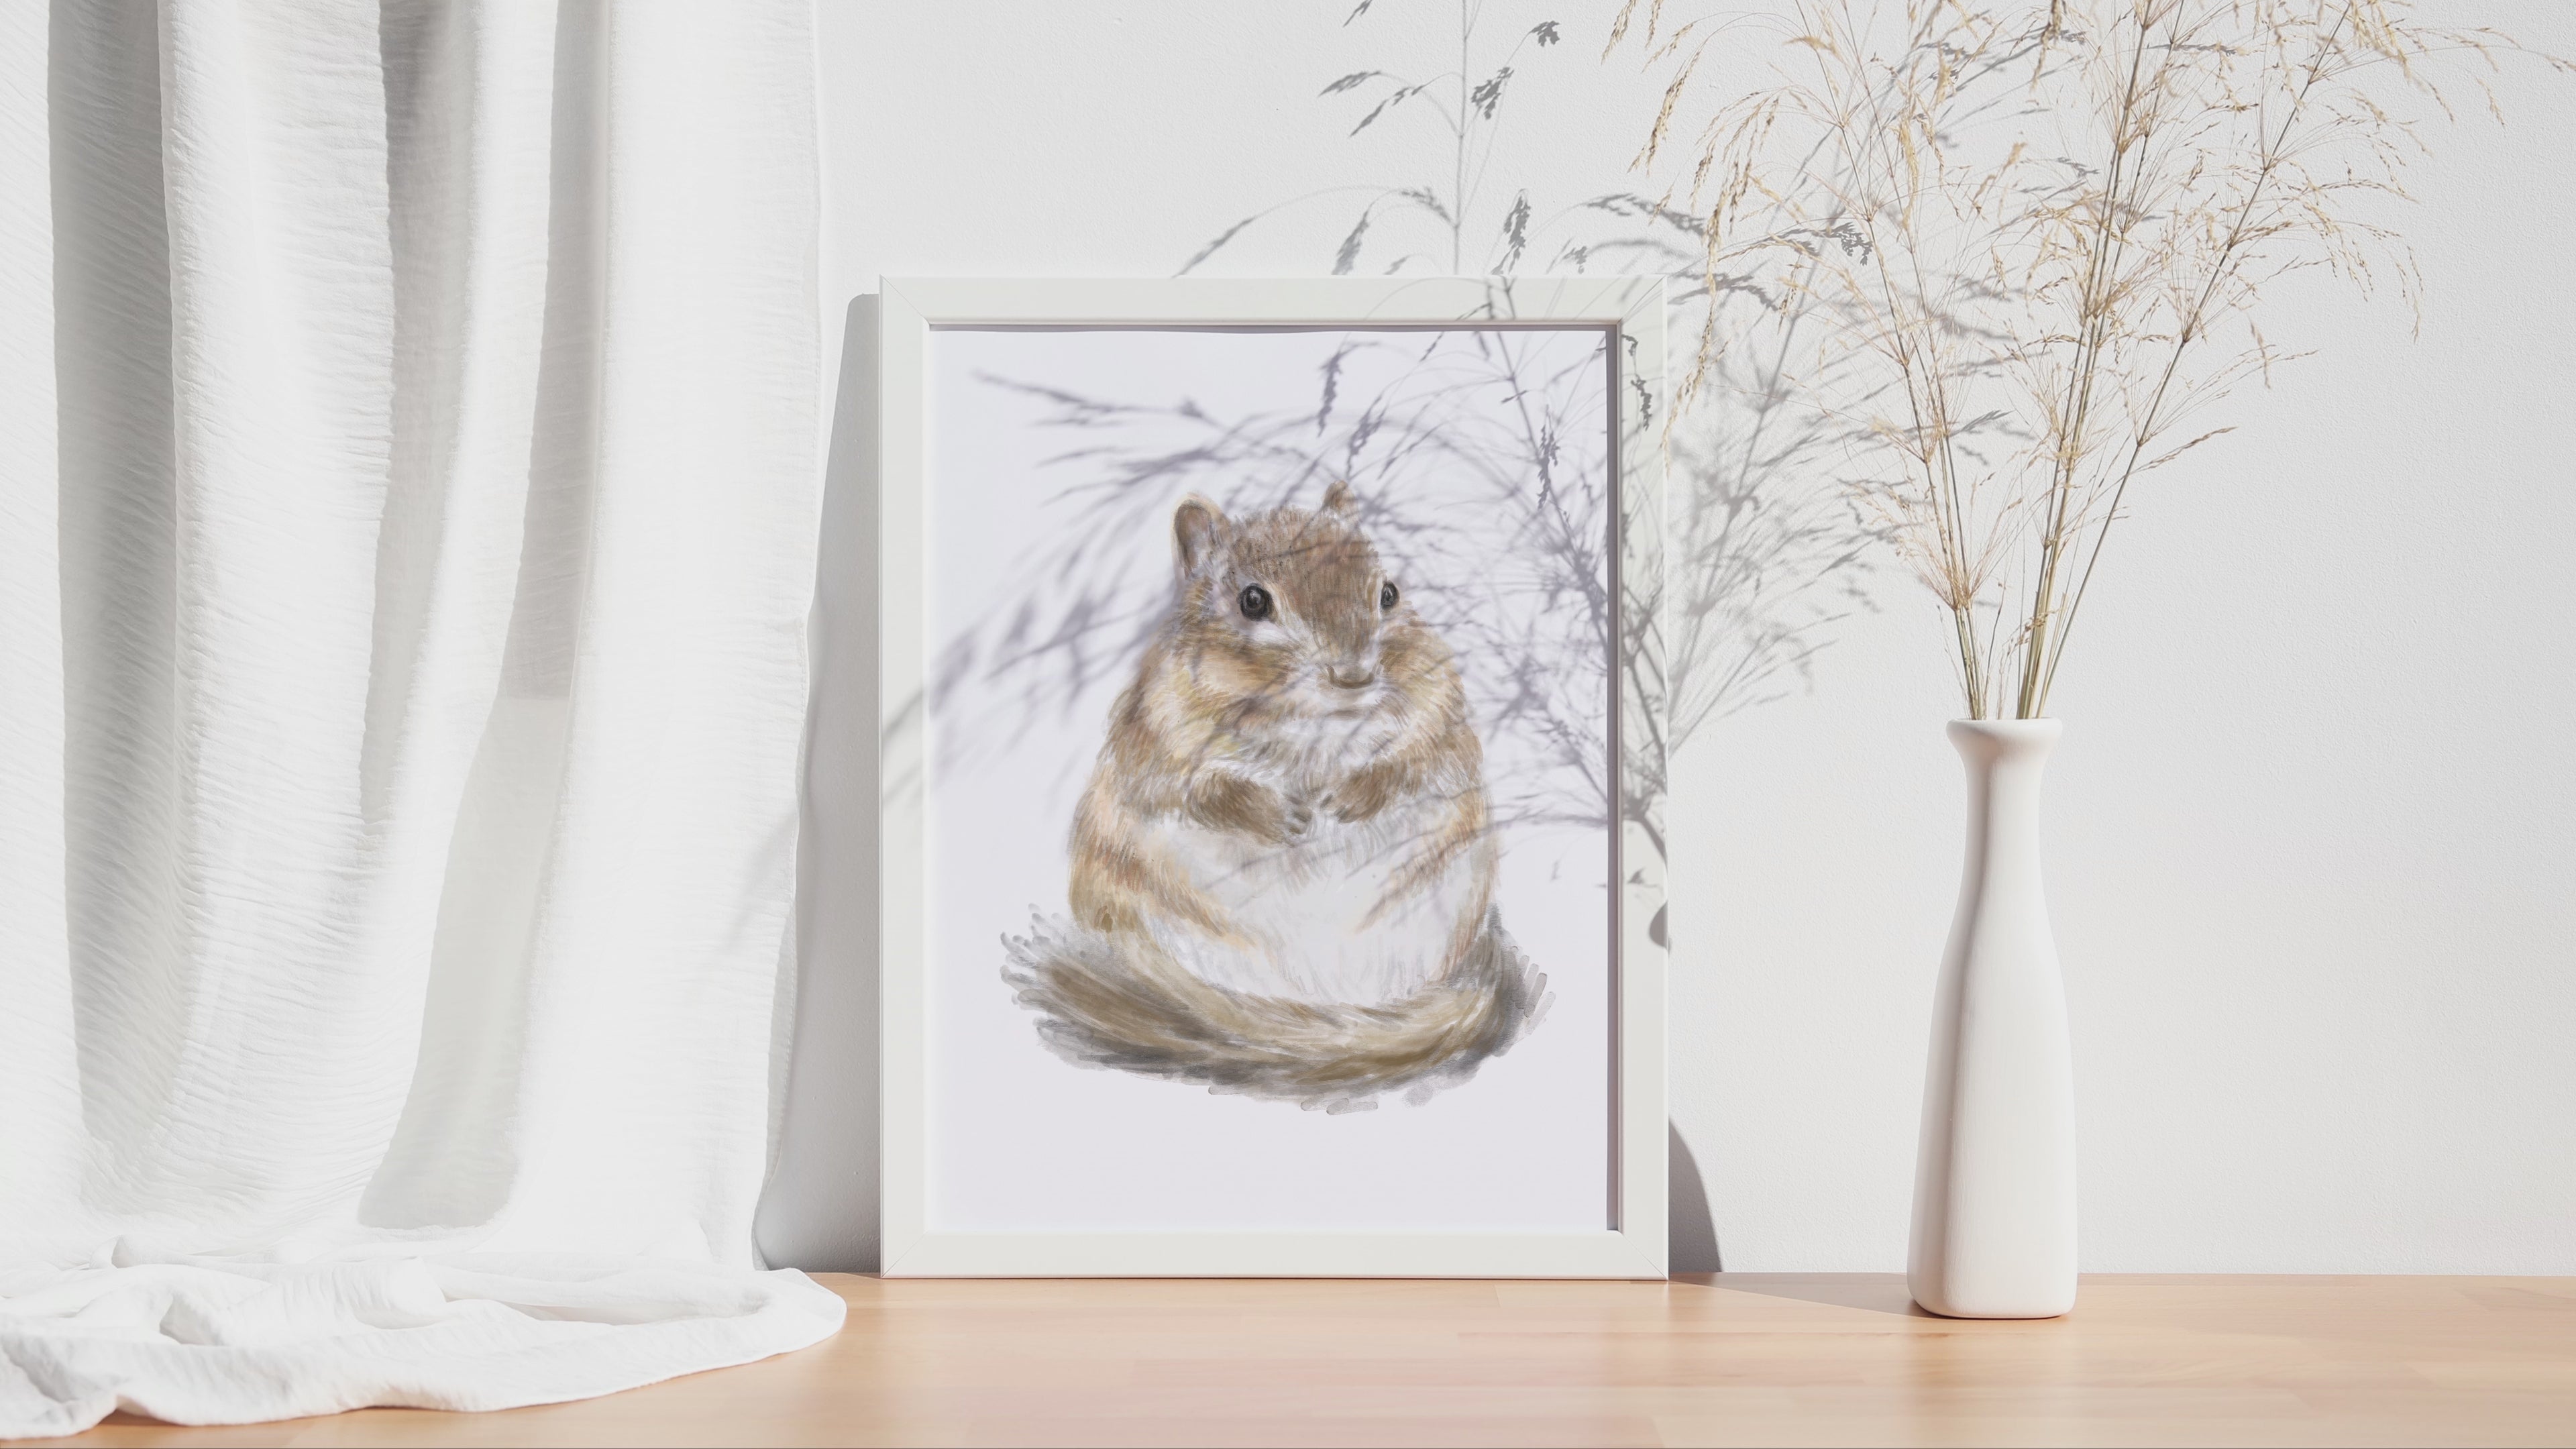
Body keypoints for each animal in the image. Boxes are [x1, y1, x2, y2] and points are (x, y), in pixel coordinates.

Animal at [1065, 480, 1499, 1008]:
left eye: (1389, 593)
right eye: (1253, 601)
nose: (1354, 677)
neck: (1317, 725)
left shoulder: (1441, 721)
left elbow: (1416, 765)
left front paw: (1351, 797)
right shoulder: (1153, 744)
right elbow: (1196, 791)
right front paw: (1280, 815)